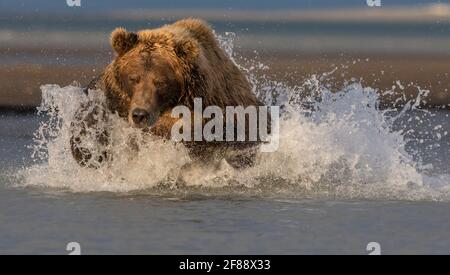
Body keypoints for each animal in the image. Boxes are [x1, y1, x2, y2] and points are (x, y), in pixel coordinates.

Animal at [71, 18, 266, 168]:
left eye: (160, 82)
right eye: (134, 78)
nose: (139, 114)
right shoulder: (111, 93)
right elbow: (90, 118)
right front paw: (90, 151)